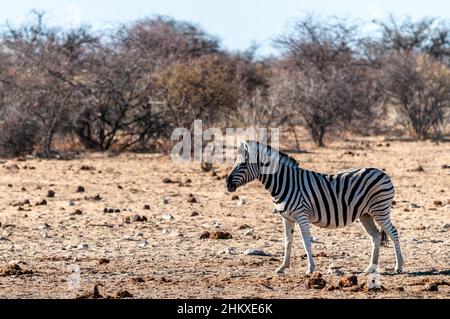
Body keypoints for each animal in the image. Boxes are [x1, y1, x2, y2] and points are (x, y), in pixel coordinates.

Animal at [225, 141, 404, 276]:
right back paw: (371, 268)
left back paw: (399, 267)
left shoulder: (301, 215)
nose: (227, 184)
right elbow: (287, 242)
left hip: (380, 210)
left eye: (242, 164)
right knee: (375, 237)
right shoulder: (286, 218)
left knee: (393, 232)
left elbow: (306, 242)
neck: (284, 183)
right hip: (366, 214)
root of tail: (382, 173)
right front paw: (282, 267)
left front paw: (310, 269)